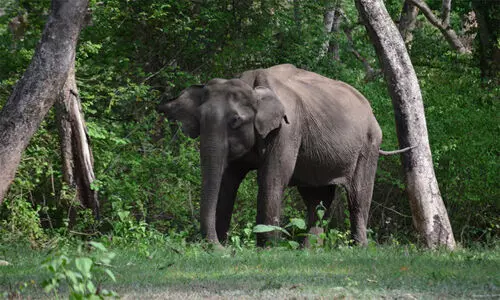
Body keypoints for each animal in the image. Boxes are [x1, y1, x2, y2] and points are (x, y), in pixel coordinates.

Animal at [158, 63, 412, 246]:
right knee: (318, 199)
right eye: (199, 122)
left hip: (368, 145)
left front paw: (267, 248)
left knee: (358, 196)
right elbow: (229, 180)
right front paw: (223, 244)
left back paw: (359, 247)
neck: (251, 85)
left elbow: (273, 178)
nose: (216, 246)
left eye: (235, 121)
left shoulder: (288, 130)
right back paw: (308, 250)